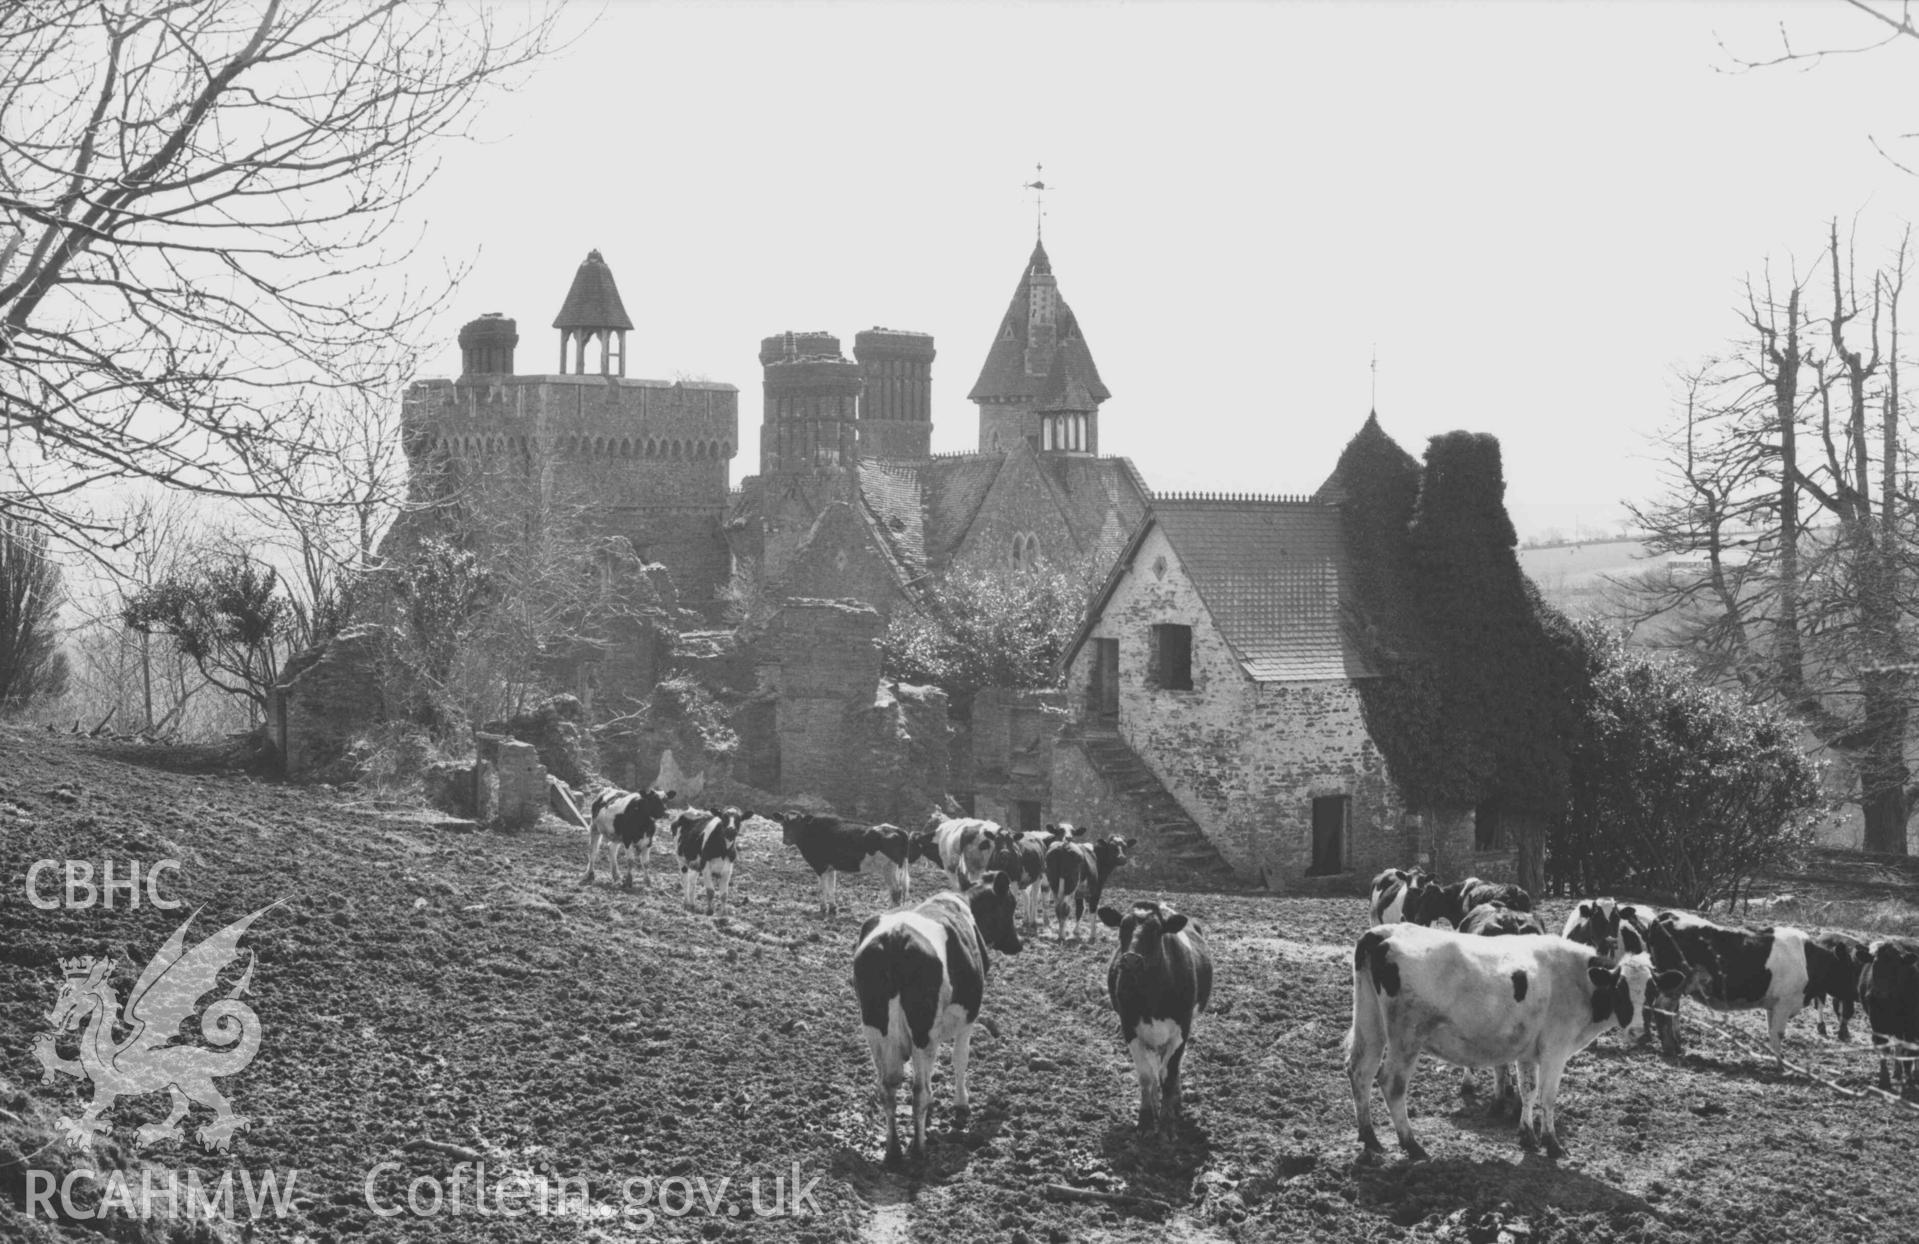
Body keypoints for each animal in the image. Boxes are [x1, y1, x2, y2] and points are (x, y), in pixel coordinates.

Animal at [852, 871, 1020, 1159]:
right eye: (1011, 905)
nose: (1017, 945)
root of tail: (896, 937)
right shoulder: (968, 1017)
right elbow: (960, 1059)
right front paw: (962, 1103)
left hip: (874, 1028)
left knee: (887, 1088)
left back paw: (893, 1151)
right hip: (923, 1031)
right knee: (919, 1092)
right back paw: (919, 1149)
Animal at [1105, 898, 1205, 1128]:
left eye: (1156, 930)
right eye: (1123, 926)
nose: (1131, 961)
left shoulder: (1182, 1028)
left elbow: (1168, 1076)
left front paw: (1167, 1120)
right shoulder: (1129, 1026)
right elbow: (1146, 1075)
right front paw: (1147, 1118)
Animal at [1350, 917, 1665, 1159]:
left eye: (1651, 992)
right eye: (1620, 989)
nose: (1639, 1033)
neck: (1575, 978)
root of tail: (1384, 933)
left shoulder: (1527, 1052)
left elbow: (1528, 1090)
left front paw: (1527, 1136)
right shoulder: (1555, 1050)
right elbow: (1548, 1096)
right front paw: (1552, 1144)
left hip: (1370, 1023)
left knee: (1360, 1072)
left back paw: (1370, 1138)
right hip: (1406, 1038)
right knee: (1391, 1083)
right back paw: (1412, 1145)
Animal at [1642, 909, 1819, 1067]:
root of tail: (1667, 915)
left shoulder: (1774, 1005)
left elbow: (1772, 1032)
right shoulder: (1784, 1003)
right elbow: (1778, 1034)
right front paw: (1782, 1066)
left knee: (1666, 1009)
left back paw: (1674, 1046)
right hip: (1674, 983)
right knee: (1661, 1008)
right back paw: (1670, 1049)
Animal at [1857, 936, 1919, 1090]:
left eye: (1896, 968)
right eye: (1874, 964)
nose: (1879, 995)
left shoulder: (1910, 1025)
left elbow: (1909, 1052)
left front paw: (1909, 1080)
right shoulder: (1877, 1021)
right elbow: (1883, 1047)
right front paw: (1884, 1080)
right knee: (1897, 1046)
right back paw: (1897, 1072)